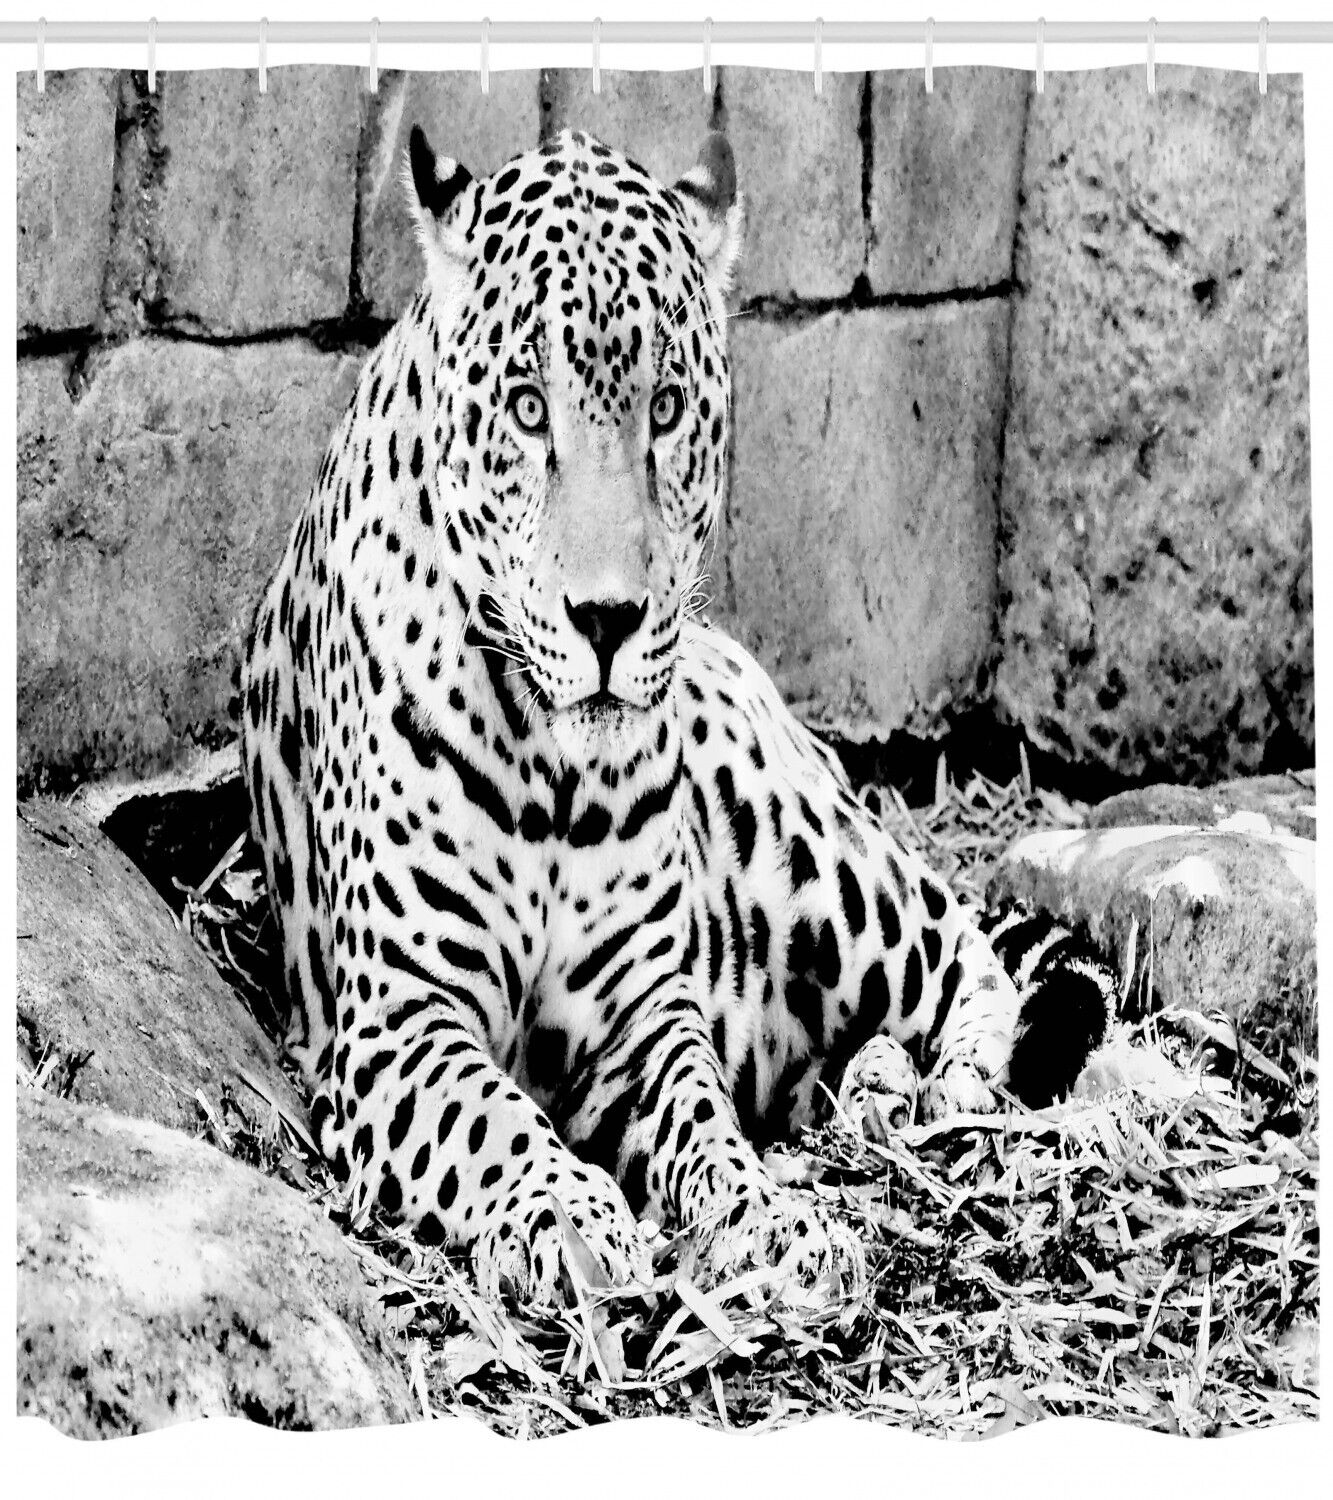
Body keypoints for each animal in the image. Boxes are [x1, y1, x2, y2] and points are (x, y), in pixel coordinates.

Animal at [240, 125, 1114, 1304]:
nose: (607, 618)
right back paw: (874, 1084)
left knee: (959, 943)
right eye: (528, 408)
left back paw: (946, 1082)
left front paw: (771, 1222)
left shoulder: (643, 1015)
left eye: (663, 409)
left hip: (812, 860)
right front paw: (567, 1214)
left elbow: (702, 1123)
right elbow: (494, 1120)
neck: (556, 780)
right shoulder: (396, 1022)